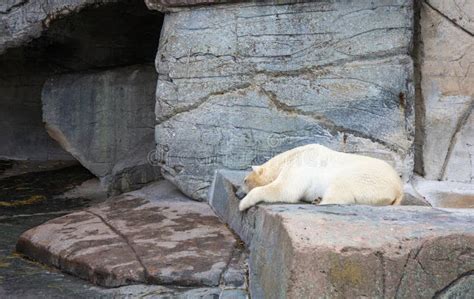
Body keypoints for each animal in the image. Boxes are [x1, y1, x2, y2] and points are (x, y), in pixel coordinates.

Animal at [239, 145, 402, 211]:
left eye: (245, 181)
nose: (237, 193)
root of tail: (398, 189)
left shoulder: (299, 167)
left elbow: (285, 190)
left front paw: (243, 204)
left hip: (365, 179)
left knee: (340, 188)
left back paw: (320, 202)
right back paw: (317, 199)